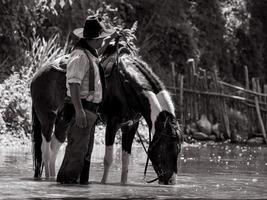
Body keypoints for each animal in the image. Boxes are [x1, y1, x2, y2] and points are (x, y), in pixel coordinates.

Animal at [30, 41, 183, 186]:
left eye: (178, 148)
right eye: (165, 146)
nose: (171, 181)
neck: (125, 84)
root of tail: (37, 75)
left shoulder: (131, 126)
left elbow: (125, 161)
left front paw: (123, 184)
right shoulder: (112, 123)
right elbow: (108, 159)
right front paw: (104, 183)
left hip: (64, 121)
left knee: (53, 148)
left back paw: (53, 177)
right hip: (47, 119)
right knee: (45, 150)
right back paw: (48, 179)